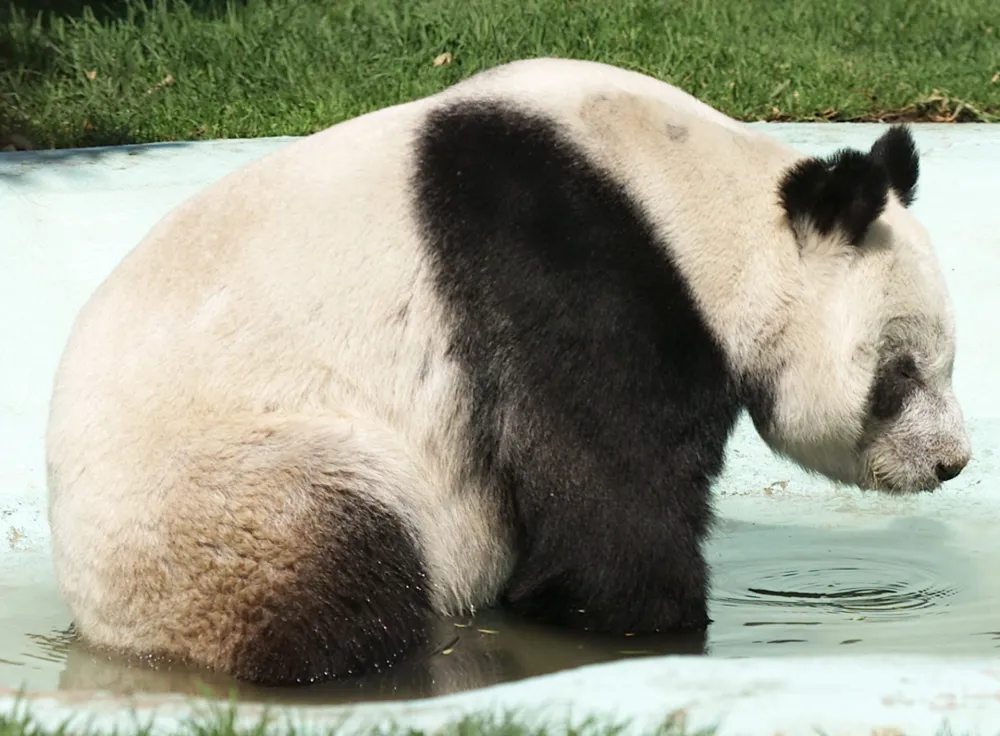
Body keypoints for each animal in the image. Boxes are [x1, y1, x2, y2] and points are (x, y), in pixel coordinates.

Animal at [45, 57, 972, 687]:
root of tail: (102, 625)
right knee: (334, 580)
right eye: (899, 374)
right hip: (225, 494)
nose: (950, 463)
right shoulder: (564, 266)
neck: (696, 203)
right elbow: (607, 498)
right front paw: (647, 621)